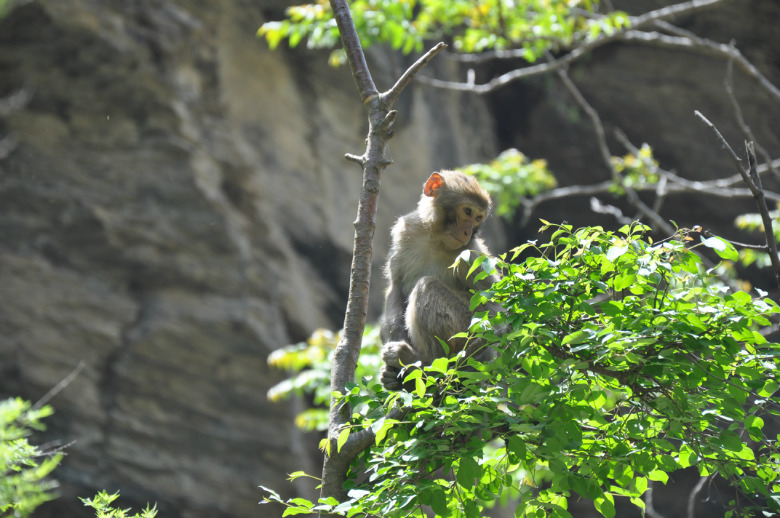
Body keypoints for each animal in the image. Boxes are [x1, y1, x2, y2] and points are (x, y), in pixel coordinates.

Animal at [380, 173, 506, 392]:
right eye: (468, 211)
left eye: (478, 218)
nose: (467, 232)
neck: (436, 239)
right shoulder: (405, 231)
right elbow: (396, 288)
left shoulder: (470, 254)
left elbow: (495, 311)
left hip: (462, 329)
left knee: (427, 287)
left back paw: (423, 364)